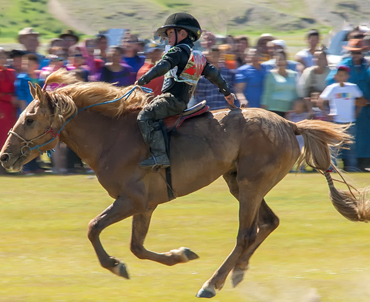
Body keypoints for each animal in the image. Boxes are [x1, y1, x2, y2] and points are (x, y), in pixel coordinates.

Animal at [0, 70, 370, 298]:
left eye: (29, 118)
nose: (5, 156)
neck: (113, 136)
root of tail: (289, 124)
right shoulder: (144, 205)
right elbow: (136, 247)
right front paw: (179, 255)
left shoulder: (132, 201)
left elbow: (94, 228)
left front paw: (116, 265)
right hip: (240, 183)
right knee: (267, 224)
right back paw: (238, 271)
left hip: (251, 186)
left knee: (245, 234)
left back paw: (212, 283)